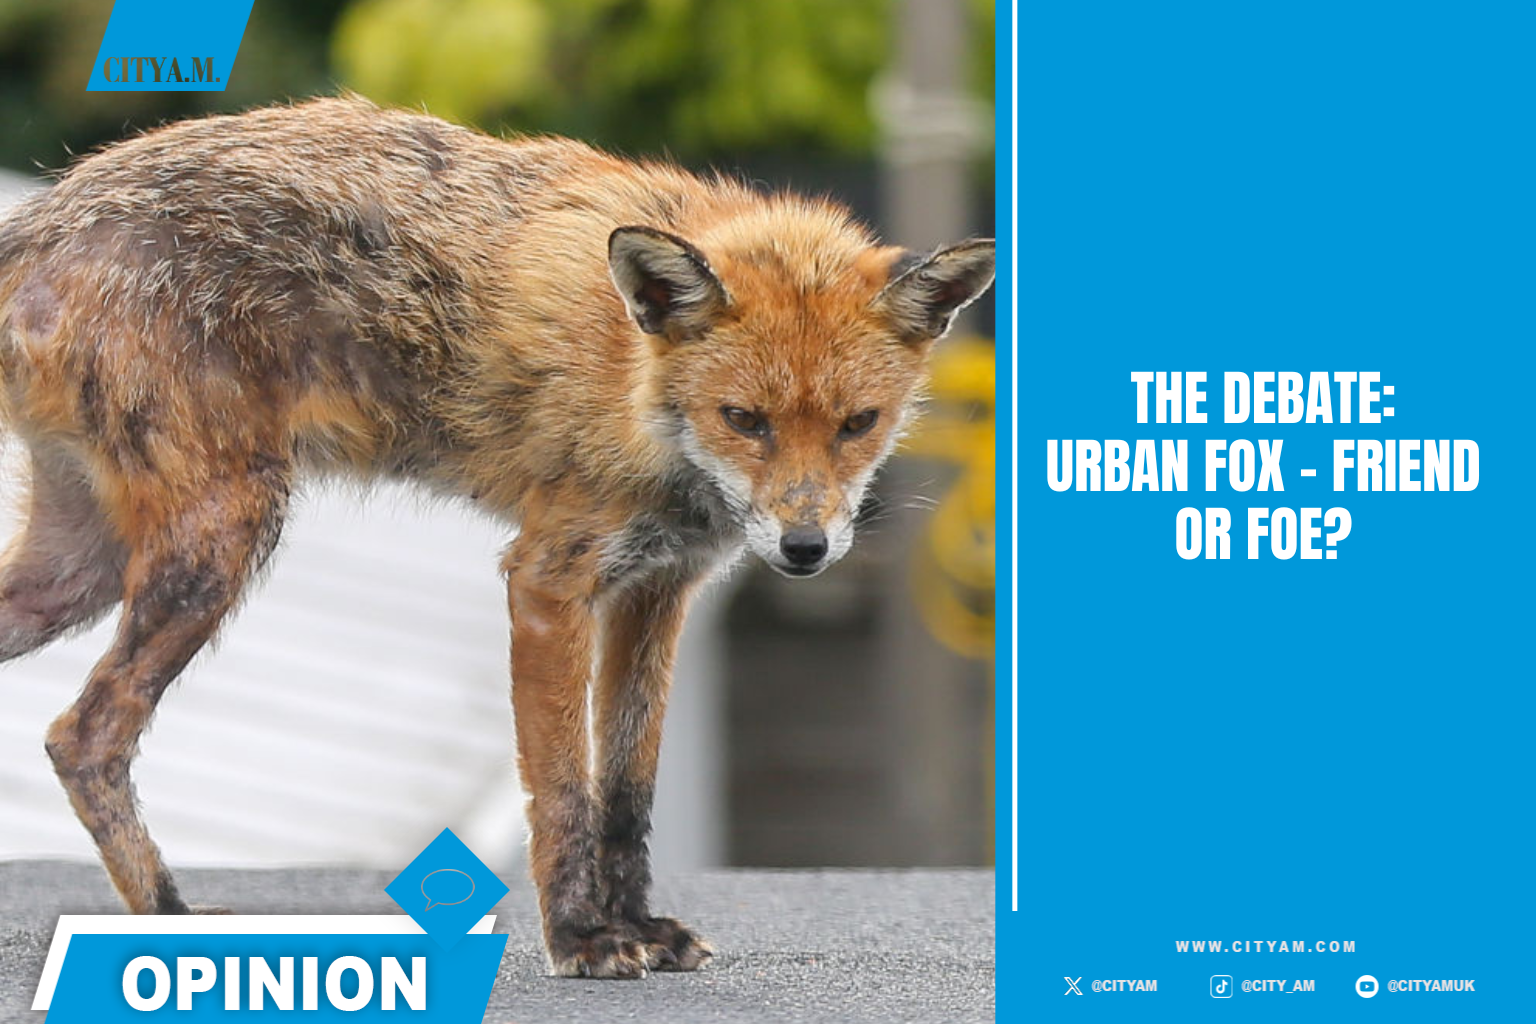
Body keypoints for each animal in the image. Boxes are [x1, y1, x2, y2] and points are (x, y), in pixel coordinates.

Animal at [0, 96, 993, 978]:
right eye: (744, 420)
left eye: (858, 424)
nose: (803, 550)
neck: (636, 382)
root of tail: (45, 214)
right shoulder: (548, 580)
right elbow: (561, 790)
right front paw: (582, 940)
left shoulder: (656, 590)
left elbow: (627, 790)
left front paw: (638, 926)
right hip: (220, 538)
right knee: (86, 736)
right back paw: (170, 920)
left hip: (84, 567)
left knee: (64, 730)